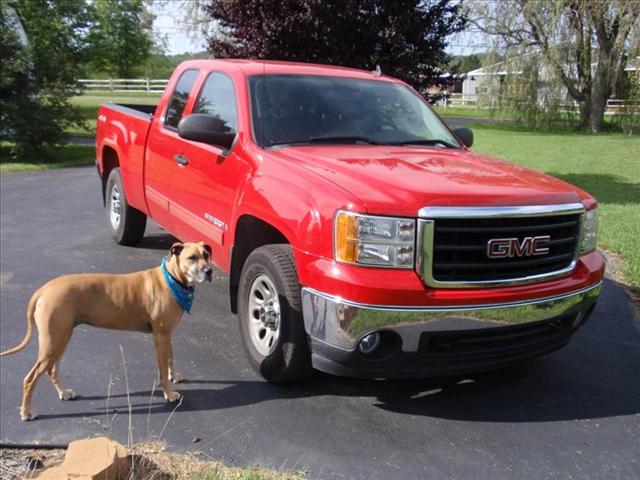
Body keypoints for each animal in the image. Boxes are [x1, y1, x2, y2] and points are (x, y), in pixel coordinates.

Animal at [0, 242, 215, 418]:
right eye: (192, 258)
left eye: (206, 254)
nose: (209, 271)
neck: (172, 278)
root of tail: (43, 290)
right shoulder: (161, 335)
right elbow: (162, 369)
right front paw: (169, 393)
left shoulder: (167, 334)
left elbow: (170, 358)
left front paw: (174, 375)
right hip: (53, 343)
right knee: (30, 378)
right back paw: (27, 412)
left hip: (60, 340)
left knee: (51, 370)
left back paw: (64, 393)